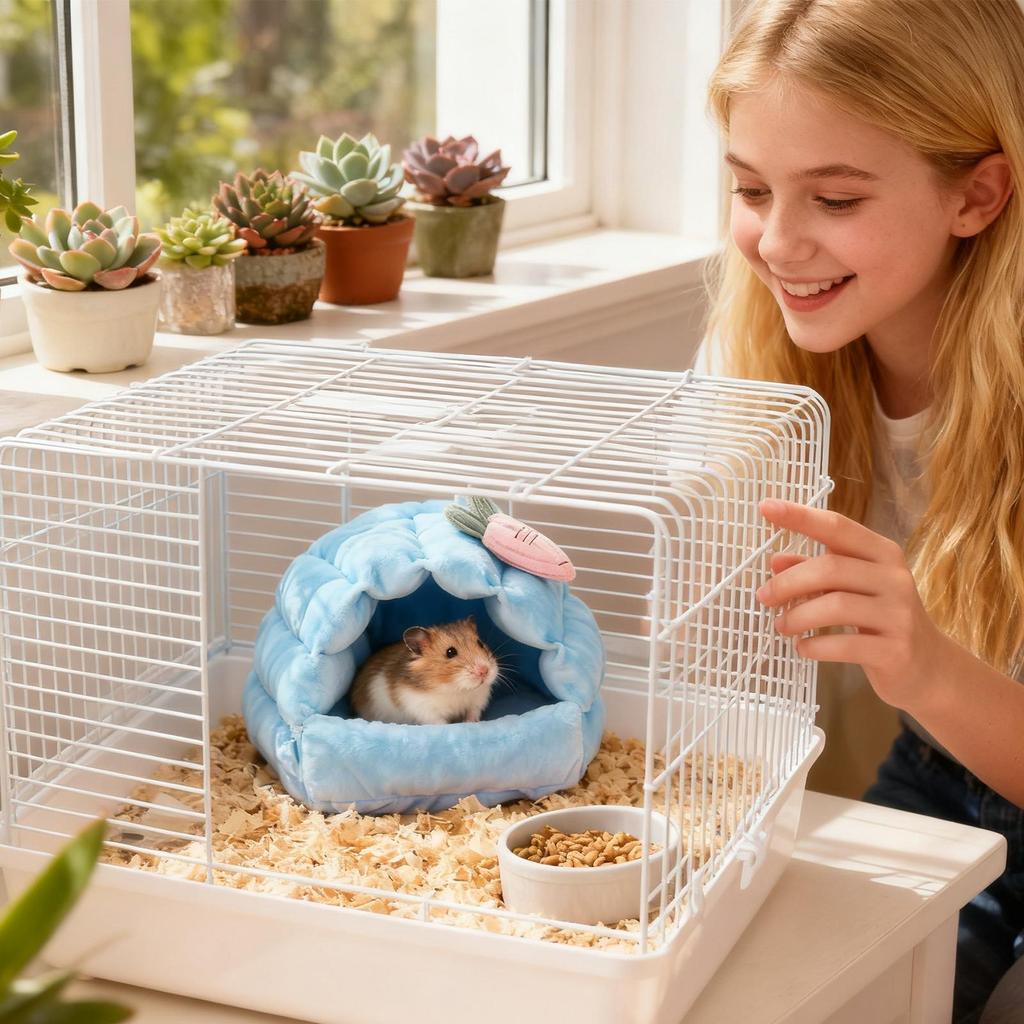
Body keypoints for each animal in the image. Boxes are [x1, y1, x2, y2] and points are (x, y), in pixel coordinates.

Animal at [349, 616, 499, 726]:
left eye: (480, 643)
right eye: (450, 652)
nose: (484, 671)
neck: (455, 689)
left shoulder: (478, 698)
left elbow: (473, 711)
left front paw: (471, 722)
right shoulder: (424, 709)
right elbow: (439, 722)